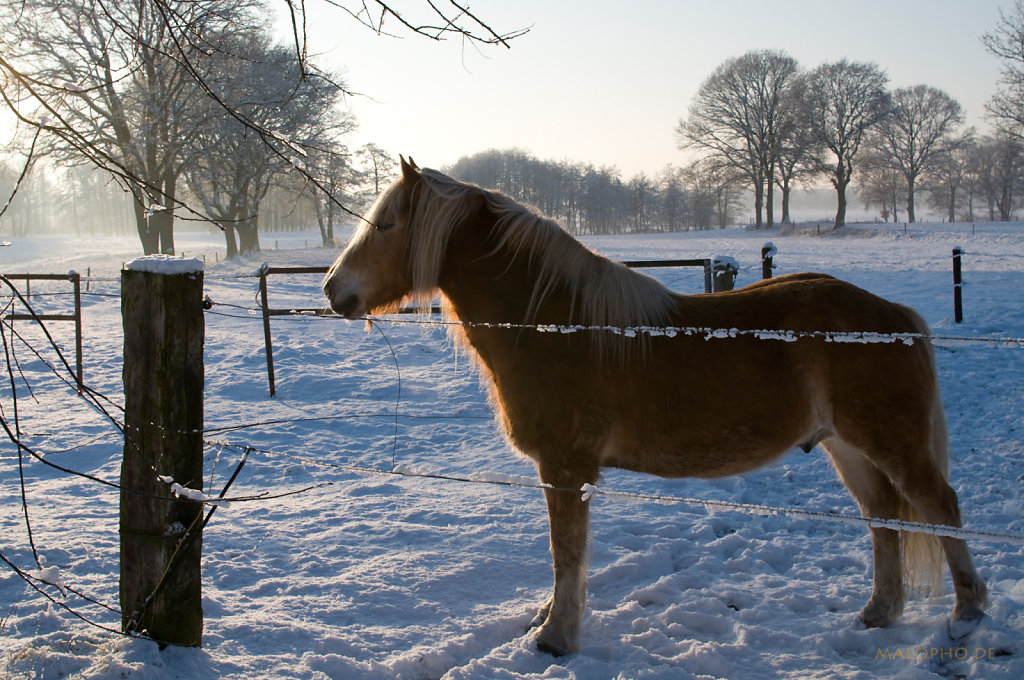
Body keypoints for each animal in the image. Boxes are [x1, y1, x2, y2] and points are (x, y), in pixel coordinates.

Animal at [323, 156, 987, 655]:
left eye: (386, 224)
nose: (333, 290)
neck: (559, 324)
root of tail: (893, 315)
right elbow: (566, 555)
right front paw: (549, 621)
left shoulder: (565, 469)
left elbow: (566, 553)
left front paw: (557, 639)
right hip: (849, 448)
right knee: (884, 518)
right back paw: (878, 613)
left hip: (892, 444)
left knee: (939, 509)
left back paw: (966, 616)